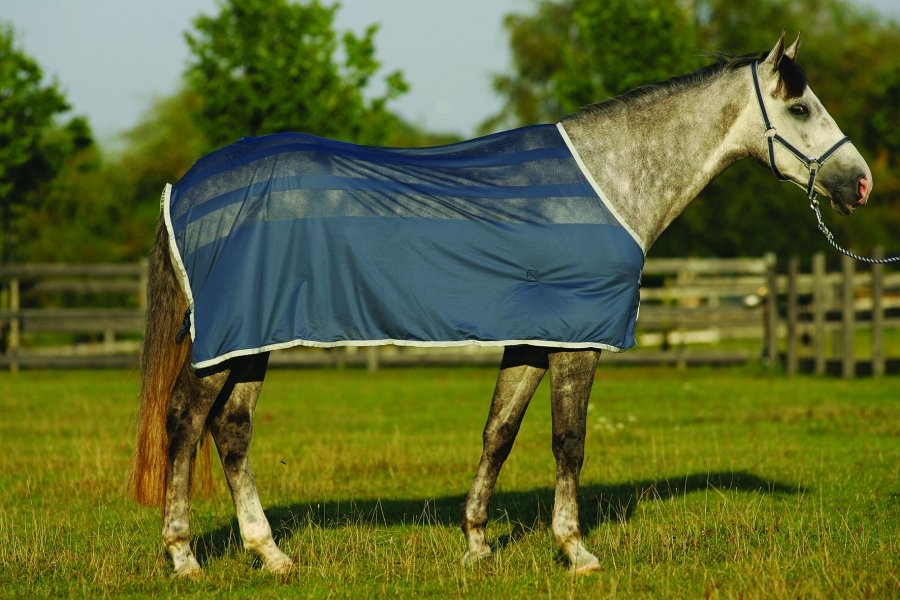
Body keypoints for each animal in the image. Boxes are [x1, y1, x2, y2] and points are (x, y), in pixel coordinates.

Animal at [131, 34, 872, 577]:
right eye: (801, 110)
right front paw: (576, 550)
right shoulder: (577, 341)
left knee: (232, 431)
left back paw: (272, 555)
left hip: (250, 339)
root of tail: (183, 186)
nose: (860, 182)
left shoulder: (530, 339)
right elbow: (569, 441)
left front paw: (478, 542)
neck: (611, 182)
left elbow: (499, 432)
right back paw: (184, 556)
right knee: (185, 422)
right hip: (226, 341)